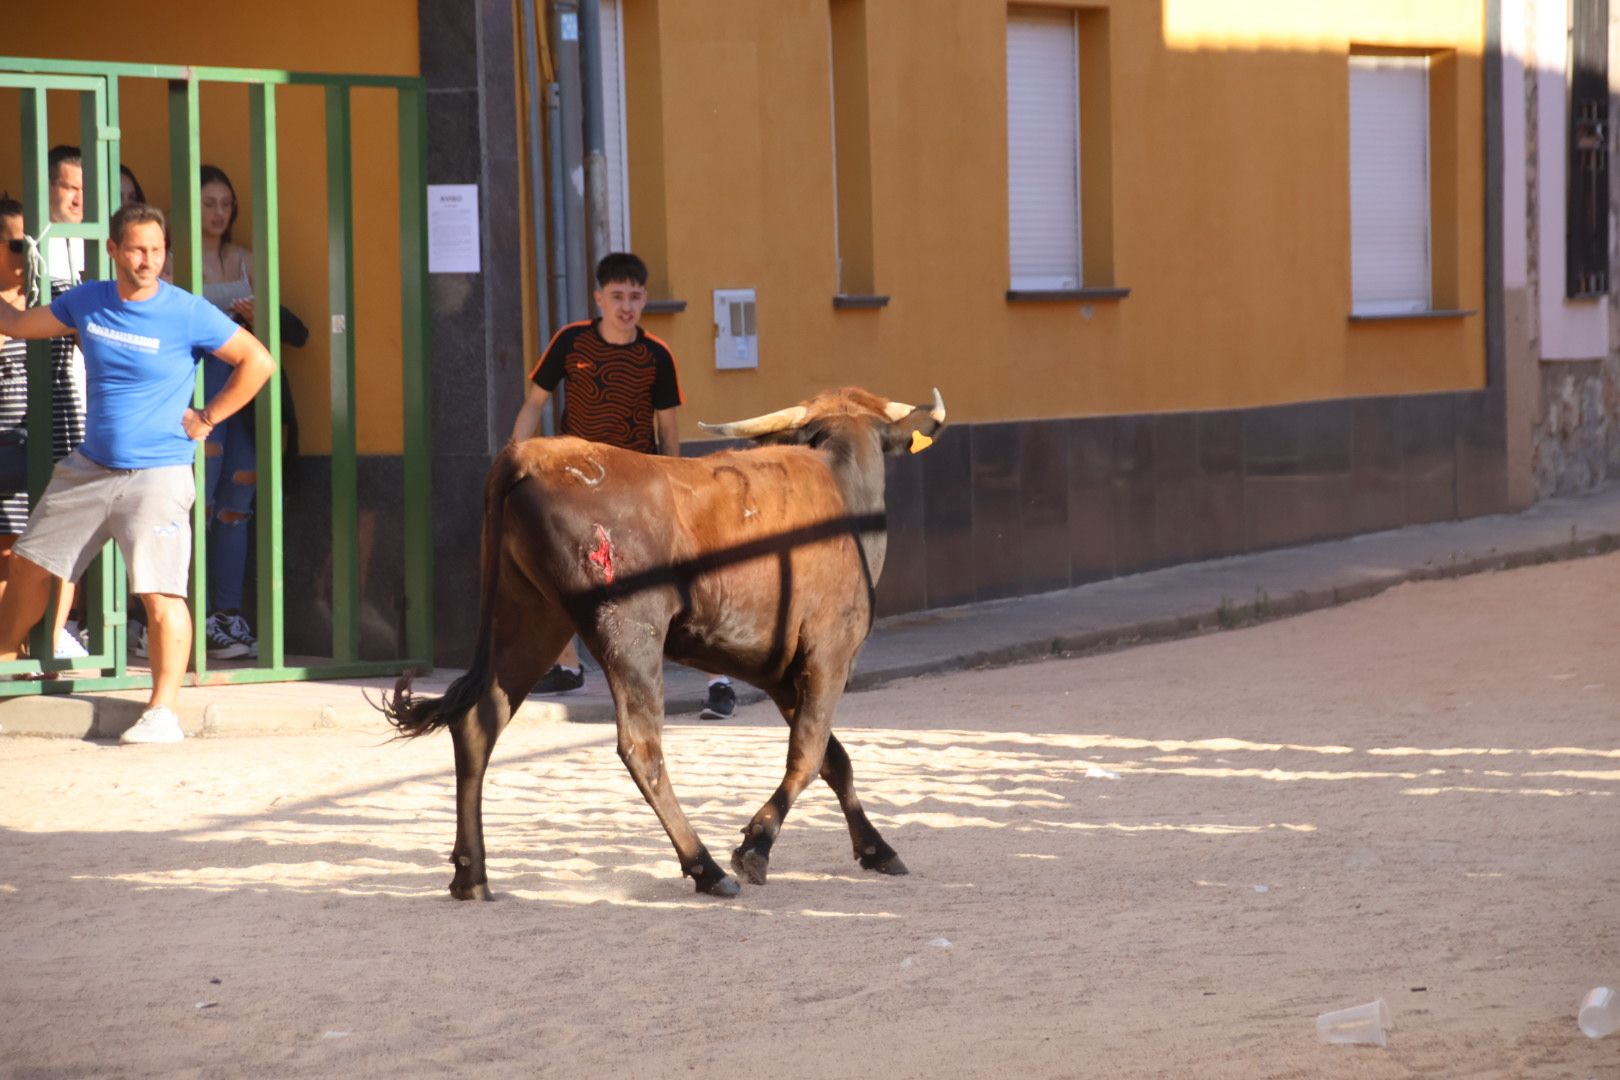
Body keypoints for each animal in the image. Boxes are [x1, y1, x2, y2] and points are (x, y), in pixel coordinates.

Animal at [380, 383, 946, 900]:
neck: (839, 481)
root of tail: (533, 454)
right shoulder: (828, 654)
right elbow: (808, 756)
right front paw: (755, 848)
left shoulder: (782, 672)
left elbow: (835, 759)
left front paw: (876, 848)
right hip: (629, 631)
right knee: (641, 745)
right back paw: (706, 867)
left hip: (529, 619)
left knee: (479, 724)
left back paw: (470, 875)